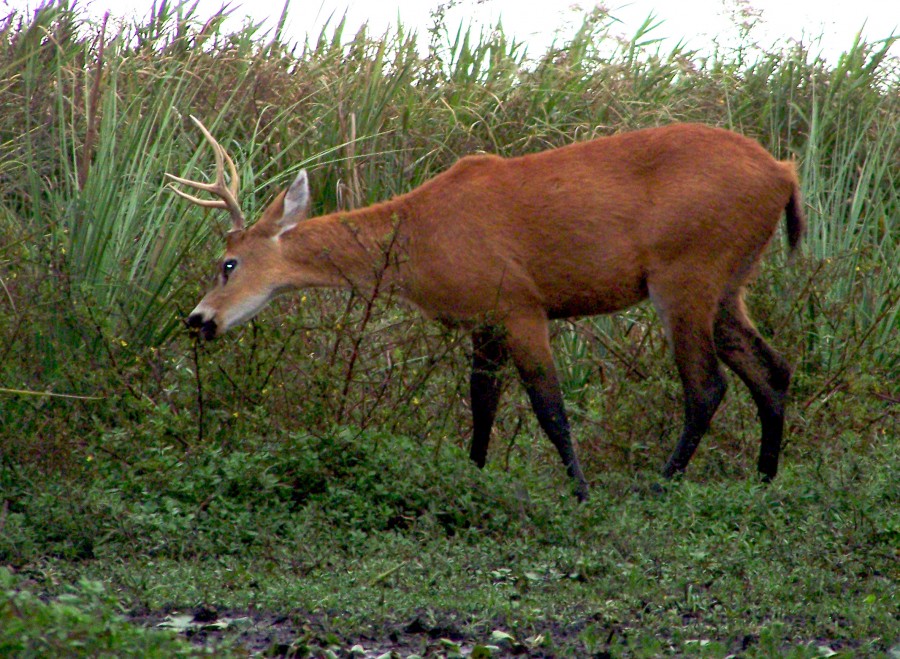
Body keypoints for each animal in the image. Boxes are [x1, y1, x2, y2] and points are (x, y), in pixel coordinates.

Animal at [171, 117, 808, 500]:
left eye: (228, 263)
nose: (198, 320)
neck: (417, 238)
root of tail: (785, 173)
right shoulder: (484, 321)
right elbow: (482, 406)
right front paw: (473, 476)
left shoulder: (519, 304)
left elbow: (549, 408)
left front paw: (580, 492)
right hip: (729, 284)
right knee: (774, 370)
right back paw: (764, 480)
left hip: (687, 273)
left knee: (707, 387)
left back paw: (660, 484)